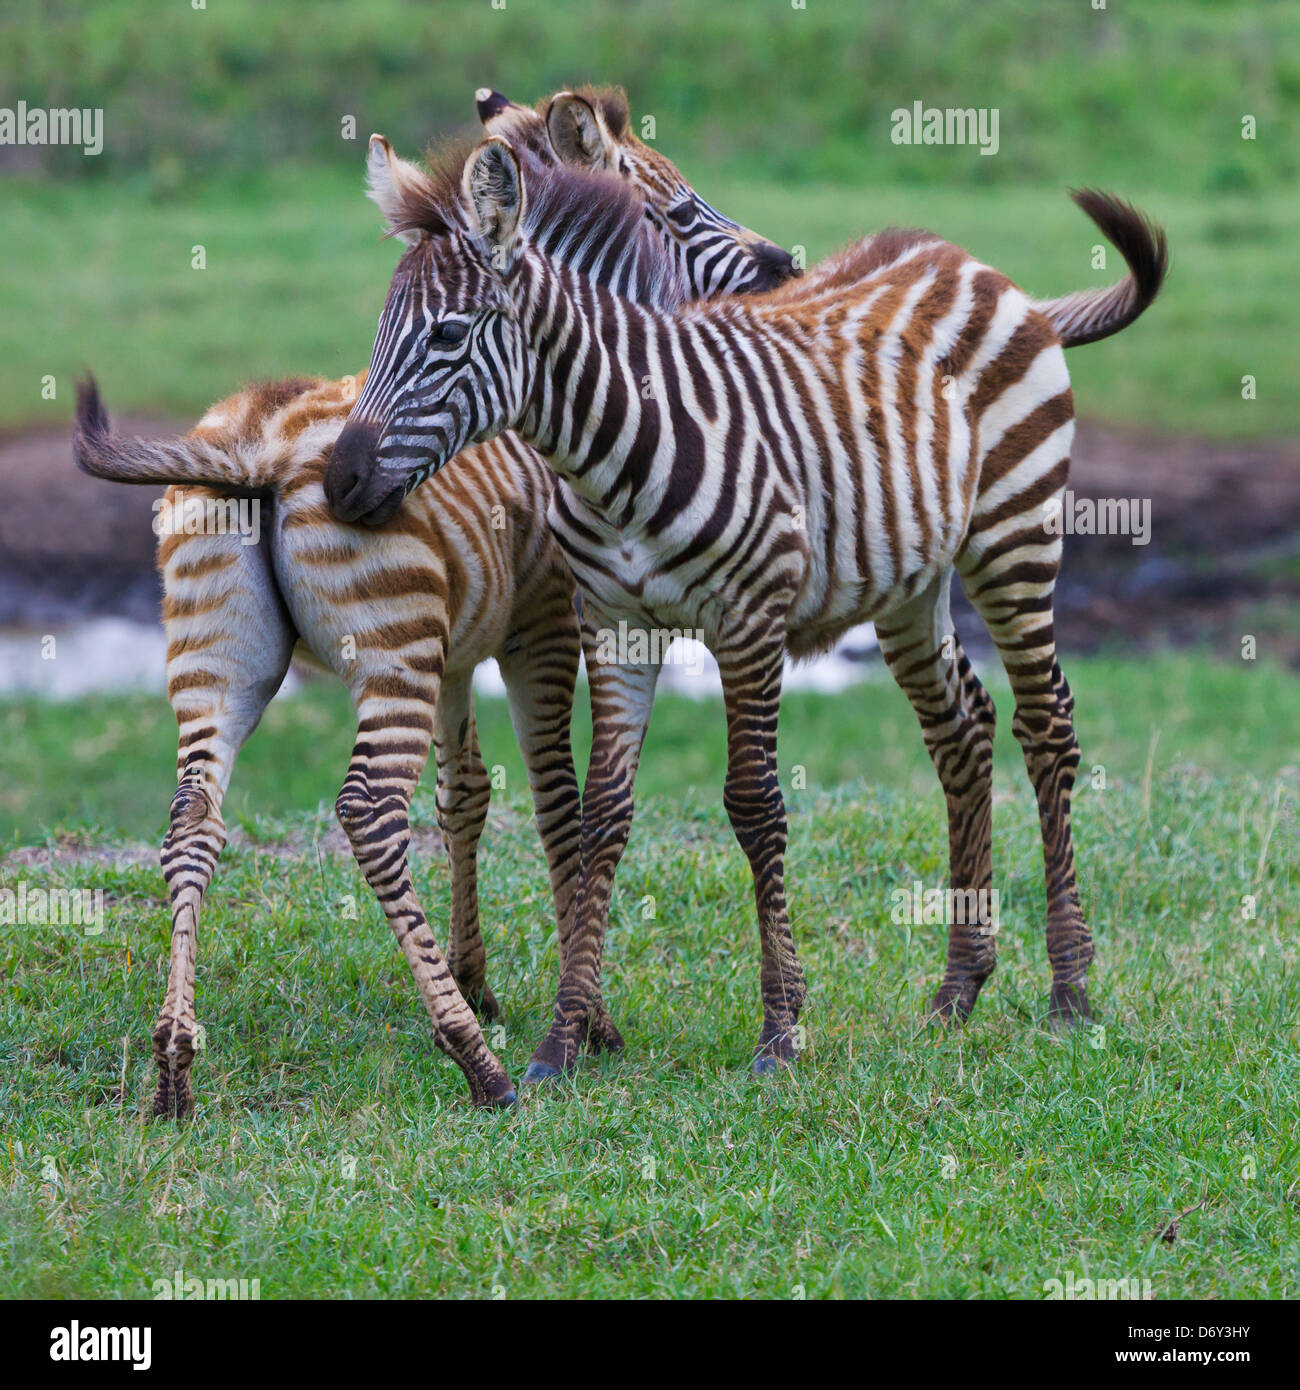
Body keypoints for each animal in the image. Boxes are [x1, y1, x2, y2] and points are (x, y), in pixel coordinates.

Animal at [73, 89, 800, 1117]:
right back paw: (477, 1064)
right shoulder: (544, 630)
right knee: (370, 811)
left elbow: (466, 799)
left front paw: (477, 978)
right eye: (674, 209)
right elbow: (558, 805)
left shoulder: (460, 649)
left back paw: (176, 1061)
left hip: (219, 662)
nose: (788, 267)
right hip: (388, 655)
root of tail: (255, 447)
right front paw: (582, 1021)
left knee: (191, 819)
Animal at [325, 132, 1167, 1084]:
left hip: (1015, 534)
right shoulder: (613, 624)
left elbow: (755, 803)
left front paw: (780, 1029)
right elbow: (601, 815)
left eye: (446, 334)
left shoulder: (750, 620)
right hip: (910, 582)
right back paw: (958, 988)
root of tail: (971, 263)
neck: (613, 449)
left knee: (1046, 724)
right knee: (963, 729)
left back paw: (1070, 988)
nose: (339, 484)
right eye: (381, 334)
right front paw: (564, 1039)